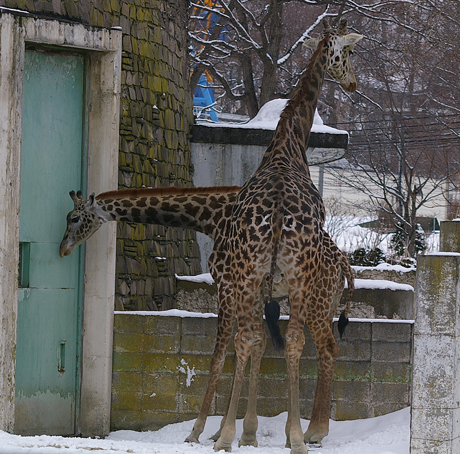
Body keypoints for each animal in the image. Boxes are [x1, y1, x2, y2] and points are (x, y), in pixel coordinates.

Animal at [60, 184, 356, 446]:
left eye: (73, 217)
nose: (63, 249)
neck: (211, 219)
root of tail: (343, 262)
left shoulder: (226, 283)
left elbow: (220, 353)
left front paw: (198, 431)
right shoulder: (250, 289)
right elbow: (254, 344)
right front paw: (233, 432)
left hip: (316, 301)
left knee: (327, 348)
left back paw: (314, 432)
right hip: (326, 303)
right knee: (324, 349)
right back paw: (307, 432)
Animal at [216, 18, 362, 454]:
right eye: (350, 52)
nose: (353, 83)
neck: (289, 142)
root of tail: (279, 214)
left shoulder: (259, 283)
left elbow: (256, 342)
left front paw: (242, 431)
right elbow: (273, 344)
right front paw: (262, 431)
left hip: (251, 276)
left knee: (250, 338)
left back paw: (229, 435)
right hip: (300, 282)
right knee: (303, 343)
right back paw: (303, 433)